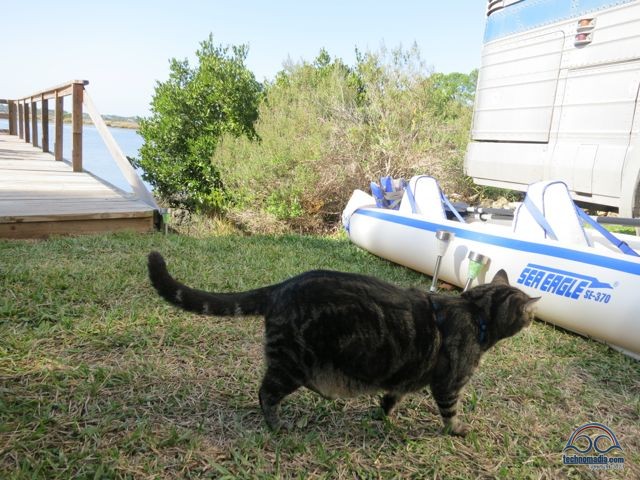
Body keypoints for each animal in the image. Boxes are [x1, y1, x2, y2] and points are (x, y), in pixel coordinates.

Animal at [147, 251, 539, 435]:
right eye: (529, 315)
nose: (534, 318)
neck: (475, 310)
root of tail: (283, 286)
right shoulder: (448, 384)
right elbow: (451, 413)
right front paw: (456, 431)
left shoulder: (401, 378)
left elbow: (389, 399)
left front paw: (384, 418)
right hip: (293, 364)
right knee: (265, 394)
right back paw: (277, 425)